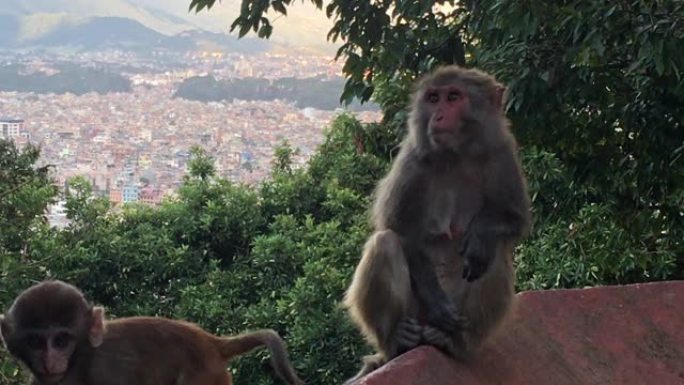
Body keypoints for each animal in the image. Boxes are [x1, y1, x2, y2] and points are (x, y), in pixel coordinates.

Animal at [0, 280, 304, 384]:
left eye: (62, 341)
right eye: (35, 342)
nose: (49, 361)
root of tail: (209, 342)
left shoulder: (104, 374)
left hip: (205, 378)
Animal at [344, 65, 532, 380]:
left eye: (453, 97)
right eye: (433, 99)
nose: (439, 116)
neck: (457, 154)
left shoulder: (502, 152)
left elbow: (514, 219)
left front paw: (481, 235)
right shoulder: (413, 160)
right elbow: (399, 228)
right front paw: (436, 301)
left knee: (493, 256)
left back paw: (455, 343)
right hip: (414, 313)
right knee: (384, 243)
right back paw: (396, 340)